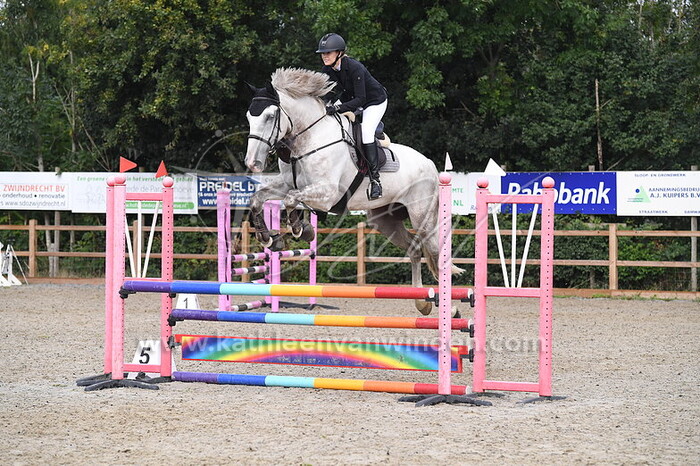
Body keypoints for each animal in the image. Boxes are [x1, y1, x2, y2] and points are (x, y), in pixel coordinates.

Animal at [244, 67, 462, 315]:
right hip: (383, 220)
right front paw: (269, 238)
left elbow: (290, 201)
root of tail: (431, 165)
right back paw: (422, 302)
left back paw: (449, 309)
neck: (310, 139)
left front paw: (302, 230)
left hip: (421, 216)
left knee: (435, 252)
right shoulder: (287, 184)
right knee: (414, 249)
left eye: (270, 116)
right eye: (249, 117)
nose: (252, 163)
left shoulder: (327, 194)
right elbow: (258, 199)